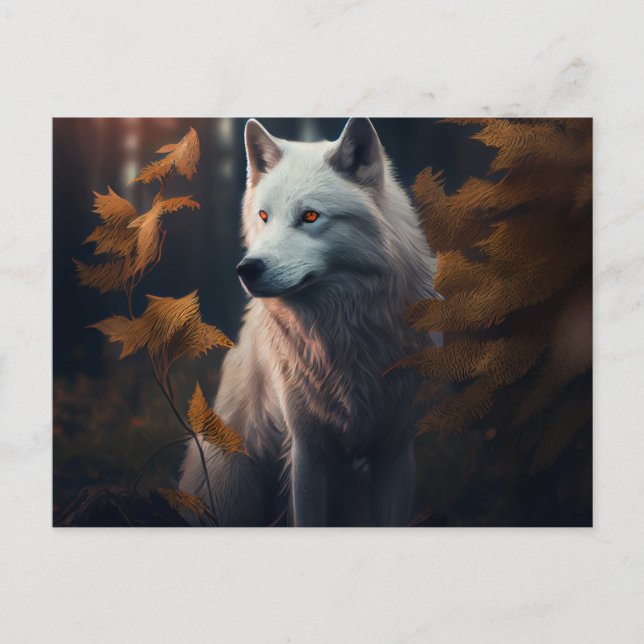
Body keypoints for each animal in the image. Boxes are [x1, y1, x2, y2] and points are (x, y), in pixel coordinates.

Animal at [179, 118, 439, 526]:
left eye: (311, 216)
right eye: (264, 216)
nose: (246, 269)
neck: (343, 334)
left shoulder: (395, 450)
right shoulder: (307, 450)